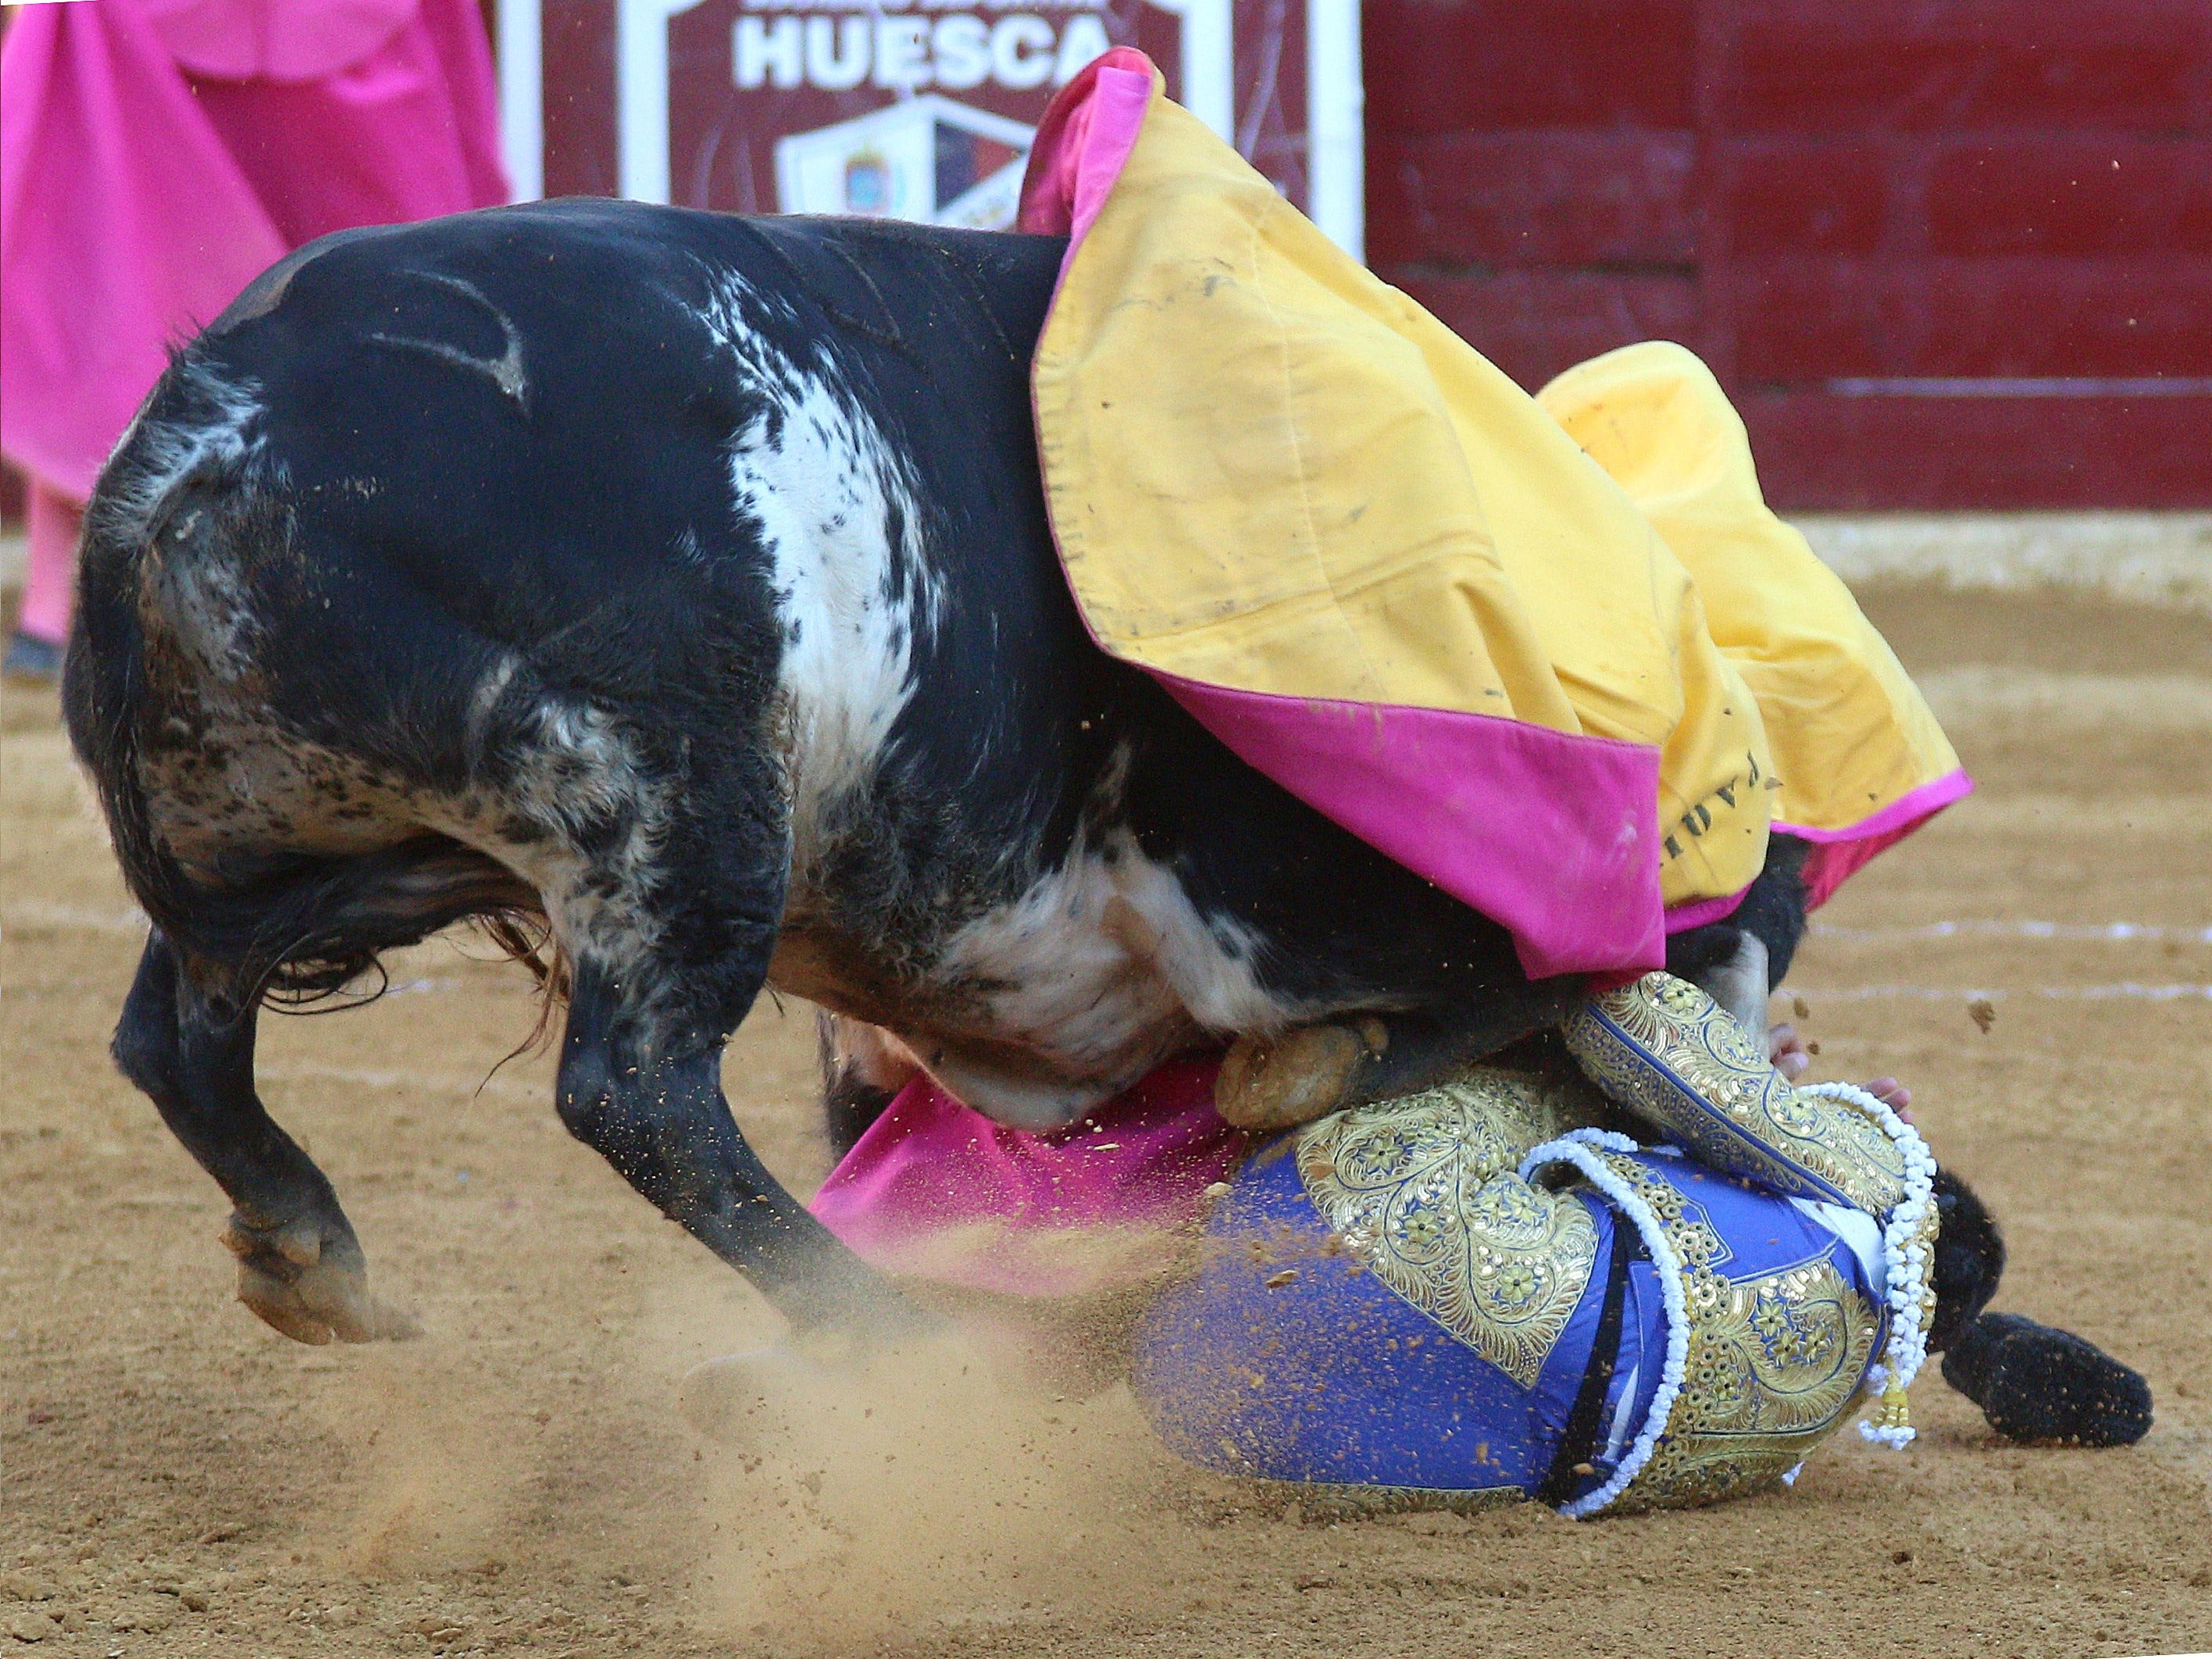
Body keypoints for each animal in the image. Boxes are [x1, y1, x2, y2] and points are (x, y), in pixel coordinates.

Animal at [69, 201, 1831, 1354]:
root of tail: (215, 441)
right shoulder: (1286, 911)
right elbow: (1524, 983)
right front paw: (1306, 1078)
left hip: (312, 848)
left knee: (177, 1031)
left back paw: (312, 1258)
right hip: (677, 803)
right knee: (637, 1092)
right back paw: (893, 1338)